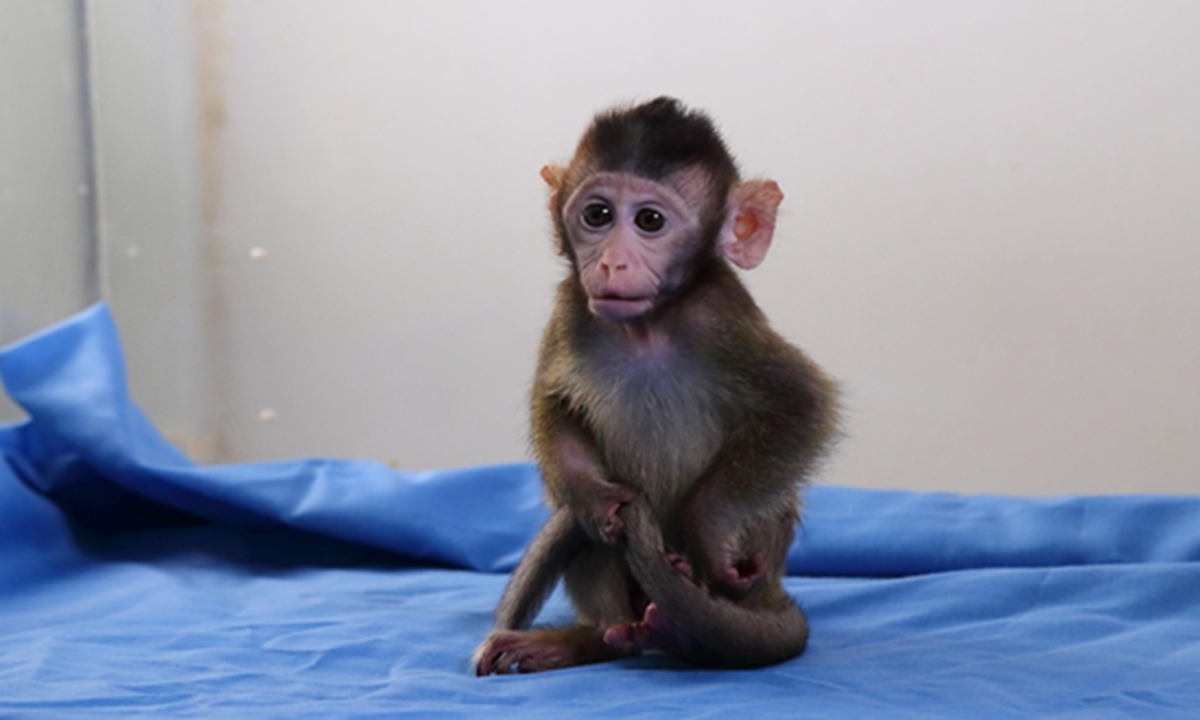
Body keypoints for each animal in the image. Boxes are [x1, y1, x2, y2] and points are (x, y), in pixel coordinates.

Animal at [474, 97, 839, 675]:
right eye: (597, 215)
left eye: (650, 220)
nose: (612, 261)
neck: (646, 326)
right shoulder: (570, 309)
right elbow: (553, 403)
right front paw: (593, 496)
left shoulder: (721, 316)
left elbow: (802, 406)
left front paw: (707, 532)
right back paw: (591, 640)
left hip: (758, 575)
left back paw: (688, 633)